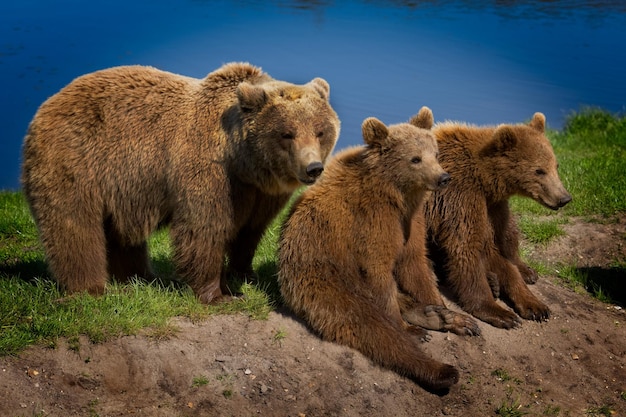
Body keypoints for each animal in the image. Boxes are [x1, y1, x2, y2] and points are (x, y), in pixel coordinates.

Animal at [22, 61, 338, 302]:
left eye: (320, 131)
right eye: (287, 133)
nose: (313, 168)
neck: (243, 162)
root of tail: (47, 103)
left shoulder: (261, 193)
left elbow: (250, 230)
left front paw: (245, 274)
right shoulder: (210, 172)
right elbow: (204, 228)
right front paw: (219, 294)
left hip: (121, 186)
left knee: (121, 232)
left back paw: (140, 276)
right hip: (75, 159)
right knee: (75, 225)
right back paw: (89, 287)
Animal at [276, 106, 476, 390]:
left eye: (435, 154)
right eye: (415, 159)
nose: (443, 177)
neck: (397, 194)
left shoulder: (411, 222)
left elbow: (416, 265)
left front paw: (445, 311)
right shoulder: (372, 221)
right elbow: (379, 273)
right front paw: (407, 327)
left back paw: (435, 316)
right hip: (322, 277)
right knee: (367, 325)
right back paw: (439, 367)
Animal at [420, 112, 572, 326]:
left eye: (555, 166)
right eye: (539, 171)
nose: (564, 198)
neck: (484, 178)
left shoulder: (492, 206)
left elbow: (495, 248)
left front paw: (535, 305)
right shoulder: (460, 195)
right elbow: (466, 247)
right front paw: (499, 311)